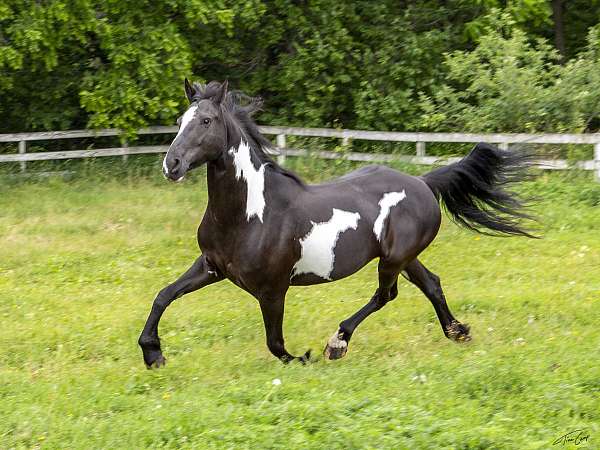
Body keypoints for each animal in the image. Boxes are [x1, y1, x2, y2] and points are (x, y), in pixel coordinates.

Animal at [137, 79, 536, 368]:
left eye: (206, 121)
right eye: (180, 122)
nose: (171, 165)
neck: (250, 214)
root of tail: (423, 182)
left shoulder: (273, 289)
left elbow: (275, 343)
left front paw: (305, 357)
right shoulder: (211, 266)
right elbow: (163, 295)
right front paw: (153, 354)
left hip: (393, 260)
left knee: (385, 295)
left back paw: (337, 343)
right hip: (405, 258)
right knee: (432, 284)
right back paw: (458, 332)